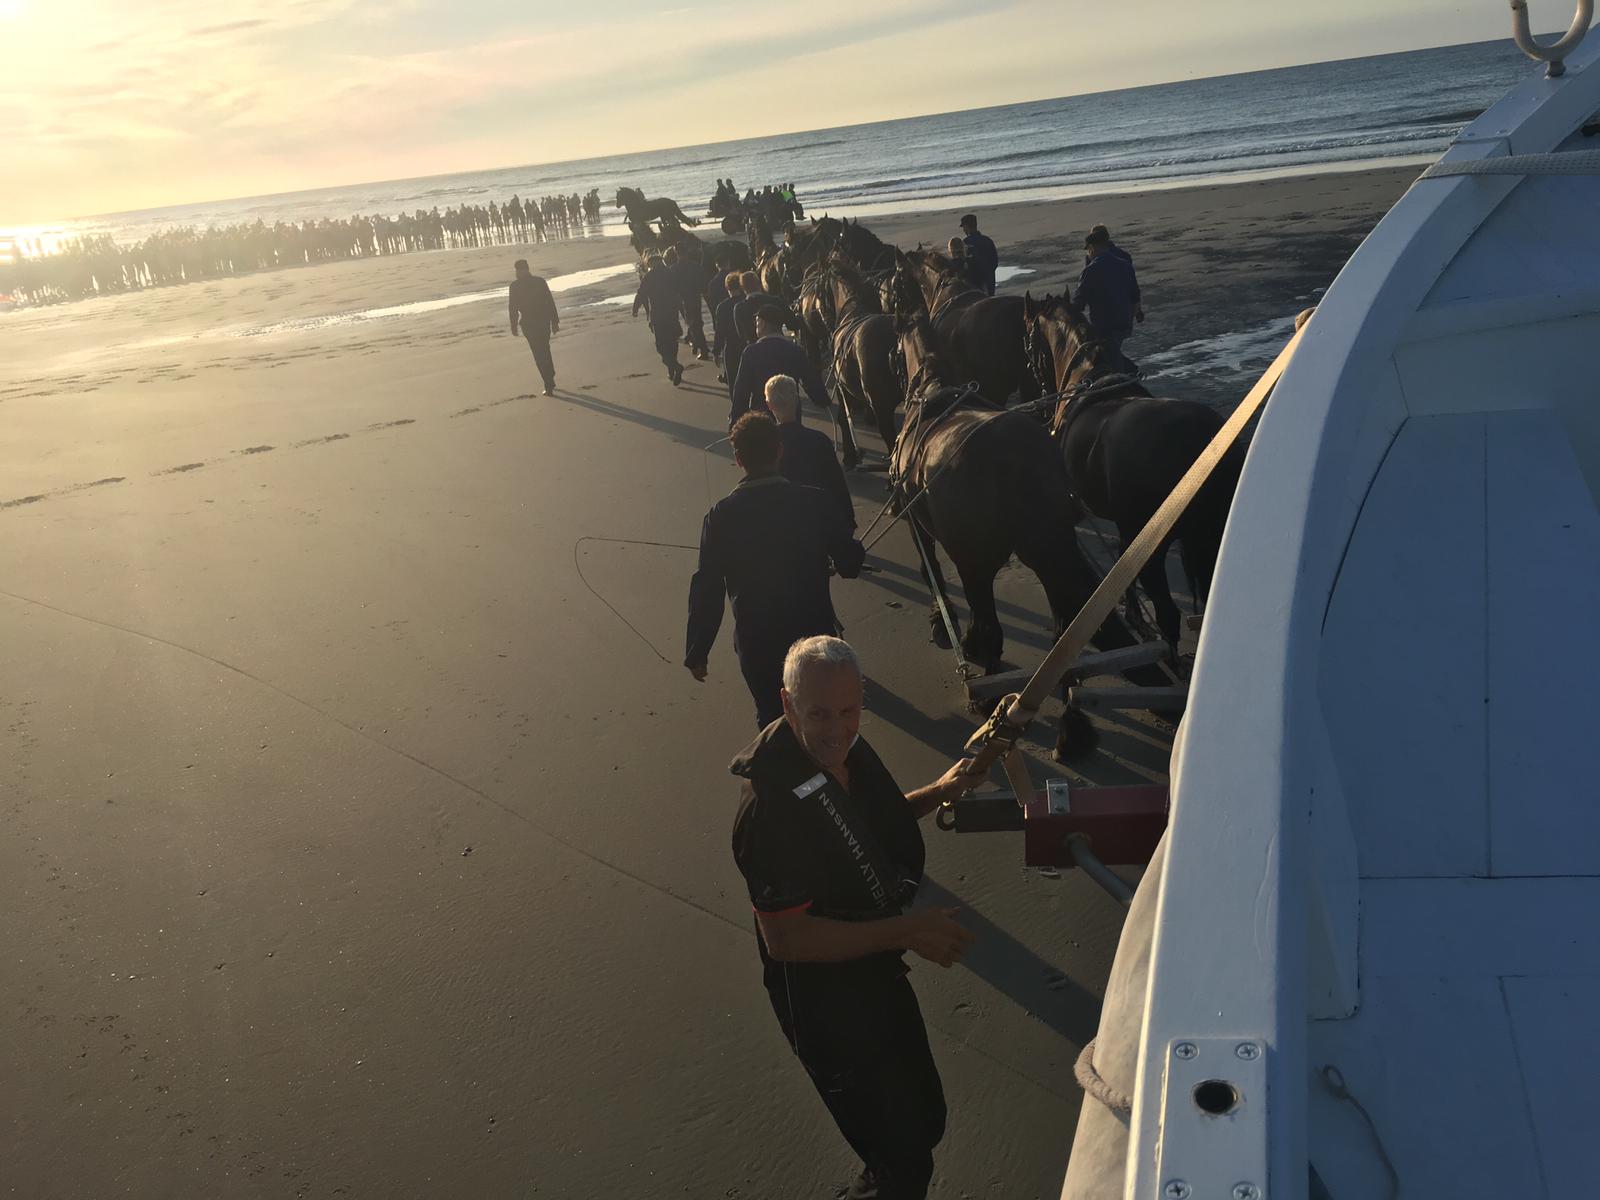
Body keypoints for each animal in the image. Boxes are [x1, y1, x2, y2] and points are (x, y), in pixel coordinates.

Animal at [889, 315, 1152, 755]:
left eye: (892, 351)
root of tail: (1018, 457)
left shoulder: (917, 527)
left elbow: (933, 576)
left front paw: (942, 624)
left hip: (977, 562)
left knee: (990, 628)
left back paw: (989, 699)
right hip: (1049, 549)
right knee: (1062, 636)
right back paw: (1072, 727)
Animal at [1030, 292, 1241, 652]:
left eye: (1029, 341)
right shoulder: (1126, 525)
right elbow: (1120, 559)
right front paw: (1132, 612)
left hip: (1154, 549)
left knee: (1169, 617)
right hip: (1209, 536)